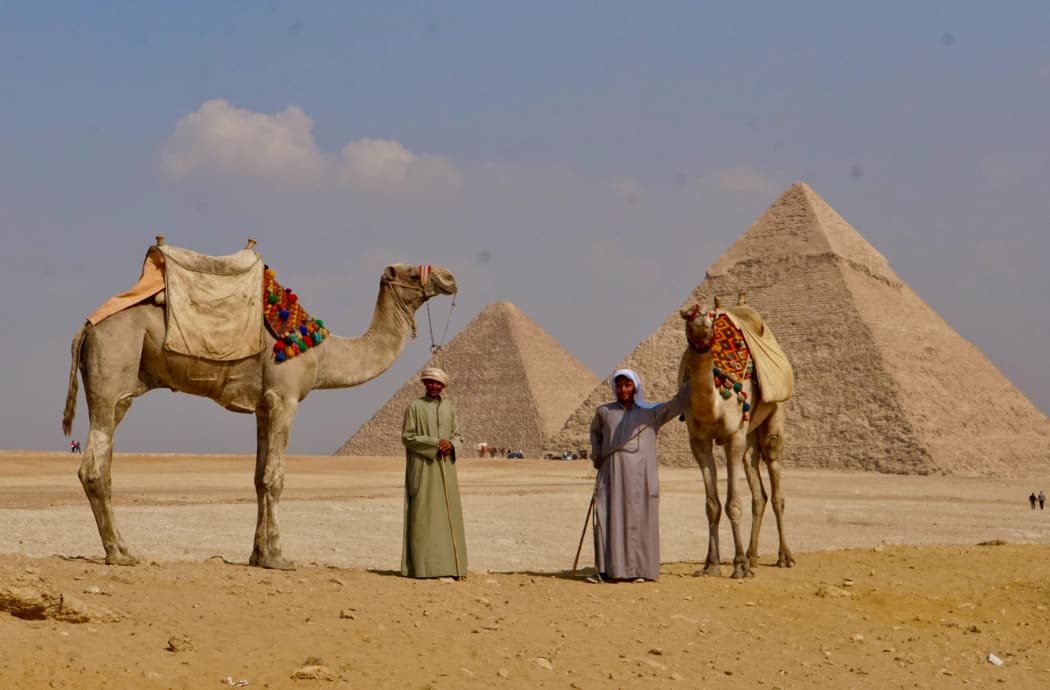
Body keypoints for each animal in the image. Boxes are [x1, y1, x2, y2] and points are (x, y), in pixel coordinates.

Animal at [61, 261, 455, 567]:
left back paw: (120, 550)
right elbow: (274, 478)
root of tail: (87, 327)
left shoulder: (264, 407)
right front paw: (278, 557)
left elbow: (257, 477)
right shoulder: (285, 398)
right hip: (114, 371)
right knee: (94, 465)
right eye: (411, 271)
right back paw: (120, 553)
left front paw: (258, 555)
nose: (450, 277)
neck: (322, 351)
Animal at [676, 294, 789, 579]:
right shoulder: (699, 442)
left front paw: (738, 565)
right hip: (749, 435)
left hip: (774, 414)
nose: (701, 318)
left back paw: (783, 556)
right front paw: (711, 564)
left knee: (775, 482)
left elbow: (732, 504)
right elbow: (712, 505)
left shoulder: (733, 437)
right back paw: (753, 556)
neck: (715, 402)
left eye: (712, 316)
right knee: (758, 490)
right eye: (686, 314)